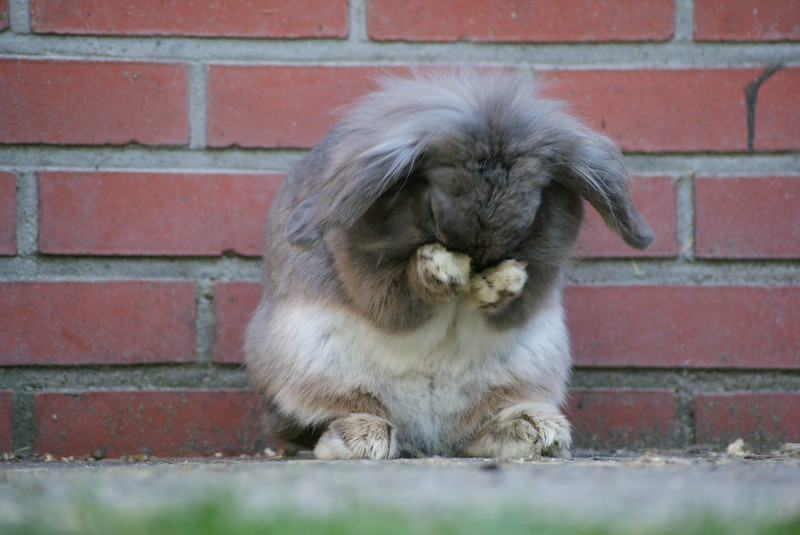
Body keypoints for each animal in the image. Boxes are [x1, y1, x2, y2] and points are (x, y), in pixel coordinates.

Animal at [244, 69, 654, 460]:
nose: (480, 258)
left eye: (532, 214)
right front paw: (439, 271)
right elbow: (398, 298)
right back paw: (361, 437)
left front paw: (500, 283)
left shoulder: (539, 279)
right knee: (321, 421)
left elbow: (516, 299)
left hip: (520, 376)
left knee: (473, 434)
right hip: (311, 371)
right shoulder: (363, 275)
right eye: (432, 210)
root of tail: (426, 435)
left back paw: (534, 430)